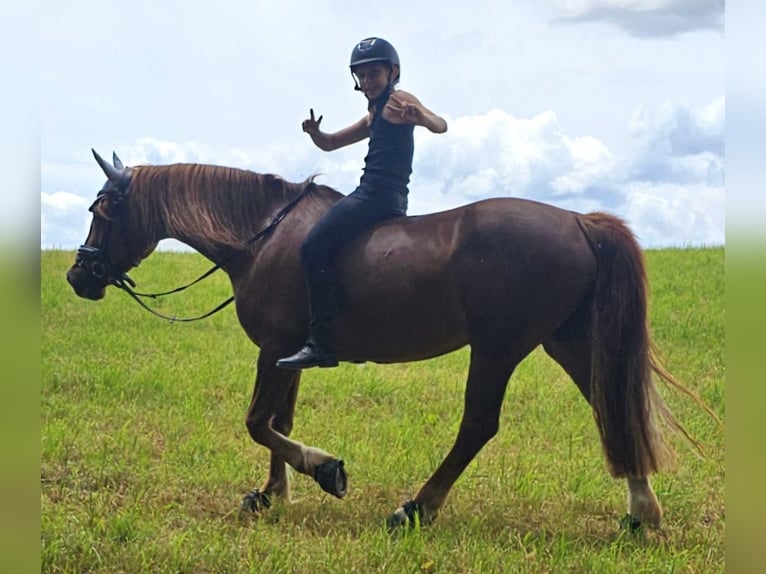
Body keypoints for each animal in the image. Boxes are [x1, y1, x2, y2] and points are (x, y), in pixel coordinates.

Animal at [67, 151, 708, 532]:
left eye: (103, 209)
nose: (78, 276)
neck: (263, 238)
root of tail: (577, 221)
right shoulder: (289, 353)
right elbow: (277, 421)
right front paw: (272, 492)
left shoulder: (273, 348)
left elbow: (258, 423)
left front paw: (325, 470)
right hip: (566, 340)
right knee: (610, 407)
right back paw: (641, 511)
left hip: (499, 346)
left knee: (479, 425)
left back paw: (417, 507)